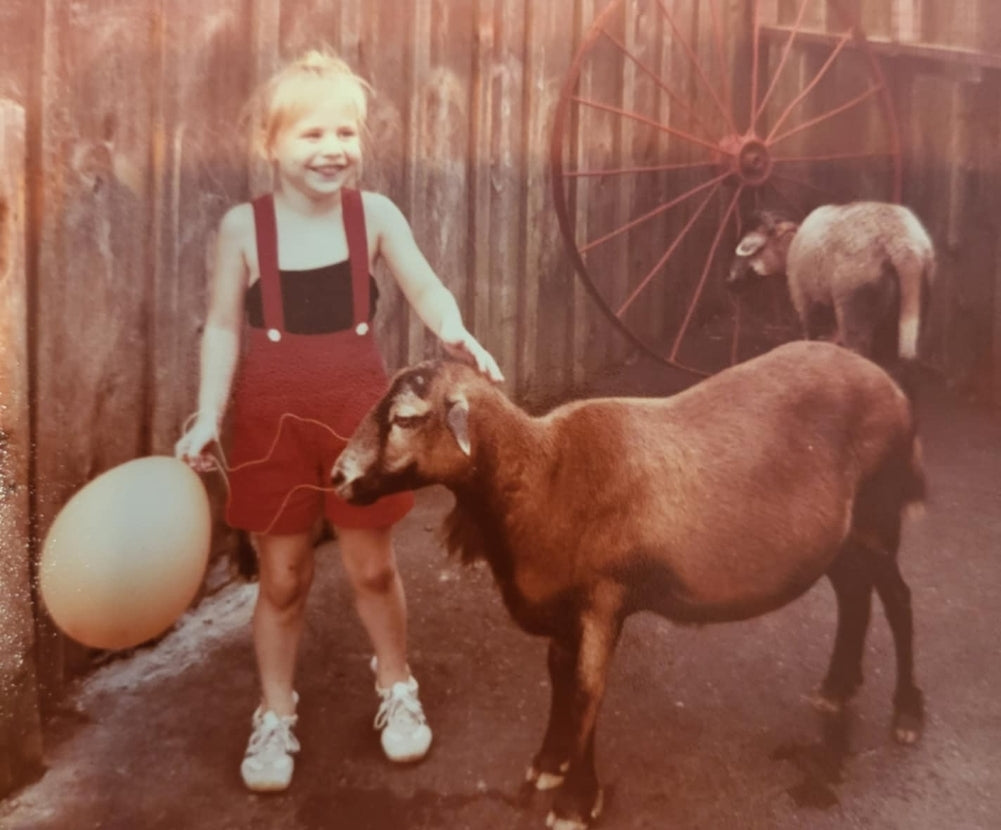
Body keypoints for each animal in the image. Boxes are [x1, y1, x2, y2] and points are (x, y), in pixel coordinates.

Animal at [332, 338, 924, 828]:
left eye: (405, 419)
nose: (339, 476)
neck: (544, 476)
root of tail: (892, 388)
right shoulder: (566, 608)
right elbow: (560, 679)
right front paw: (549, 764)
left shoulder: (603, 601)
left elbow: (587, 691)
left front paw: (574, 802)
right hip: (842, 536)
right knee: (854, 594)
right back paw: (837, 687)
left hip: (878, 513)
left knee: (897, 598)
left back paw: (907, 714)